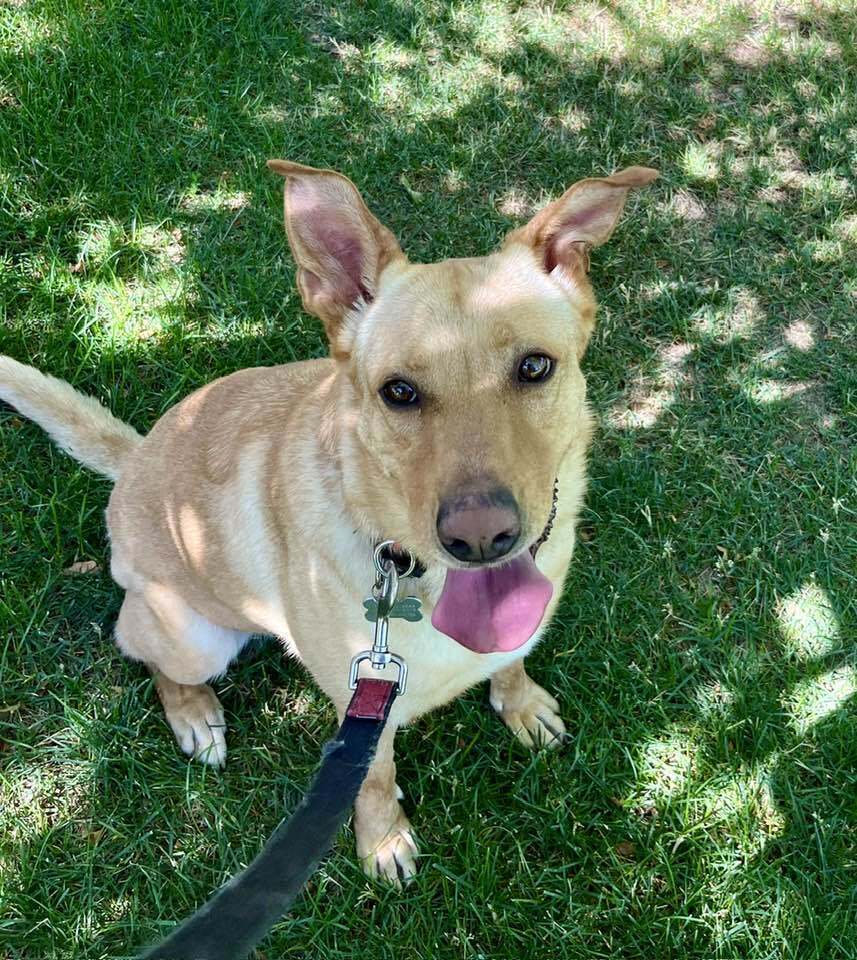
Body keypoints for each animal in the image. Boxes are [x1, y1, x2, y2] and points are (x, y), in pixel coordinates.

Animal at [0, 159, 656, 884]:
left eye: (534, 366)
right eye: (399, 392)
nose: (481, 538)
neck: (409, 573)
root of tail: (133, 458)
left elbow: (511, 662)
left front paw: (521, 703)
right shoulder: (358, 705)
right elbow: (371, 776)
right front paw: (383, 840)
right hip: (190, 634)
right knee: (143, 651)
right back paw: (194, 715)